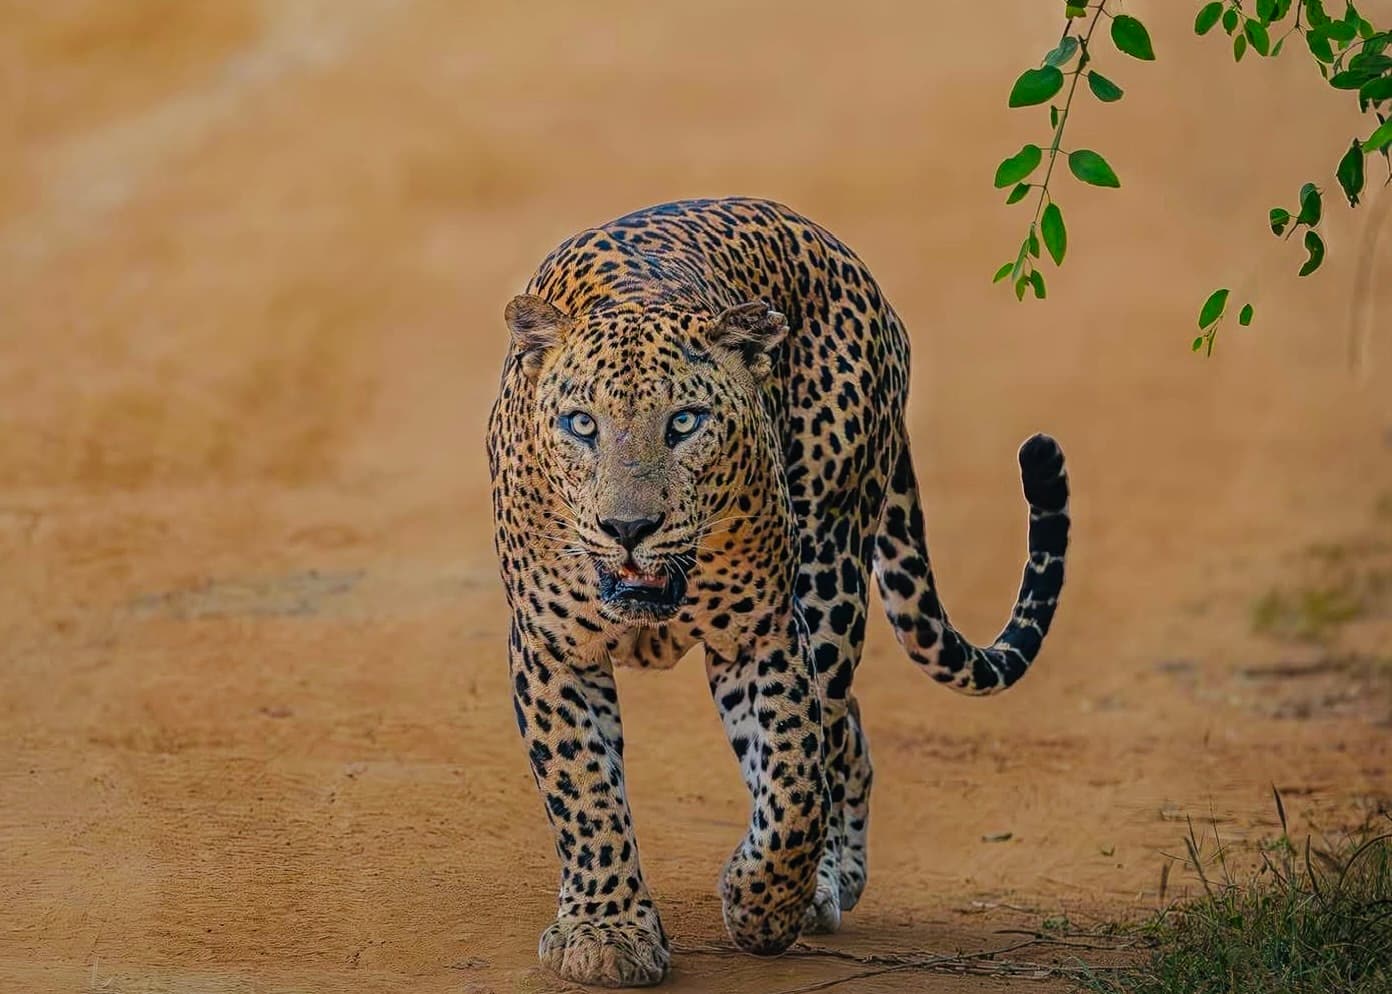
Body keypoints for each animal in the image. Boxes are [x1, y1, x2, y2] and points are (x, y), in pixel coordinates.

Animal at [486, 197, 1070, 987]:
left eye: (685, 423)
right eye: (582, 425)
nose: (629, 527)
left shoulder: (764, 633)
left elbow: (794, 779)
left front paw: (759, 904)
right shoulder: (554, 647)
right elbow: (586, 791)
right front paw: (606, 934)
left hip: (831, 575)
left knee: (835, 732)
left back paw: (824, 882)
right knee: (845, 731)